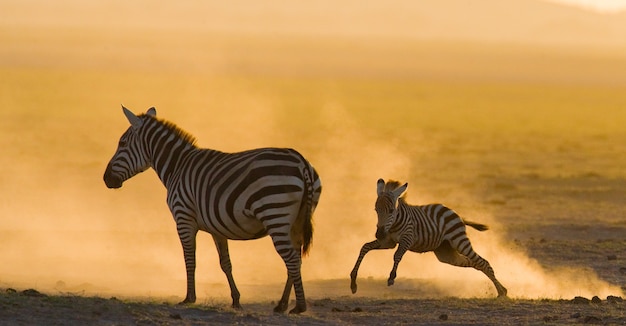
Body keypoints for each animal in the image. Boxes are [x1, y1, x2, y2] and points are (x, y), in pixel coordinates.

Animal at [103, 107, 322, 314]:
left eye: (122, 143)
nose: (106, 179)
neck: (177, 166)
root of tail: (301, 162)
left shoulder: (184, 219)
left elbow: (190, 259)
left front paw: (189, 298)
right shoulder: (218, 227)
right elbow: (225, 263)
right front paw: (236, 300)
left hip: (275, 213)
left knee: (291, 258)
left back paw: (299, 306)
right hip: (296, 221)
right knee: (296, 259)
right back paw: (282, 305)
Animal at [348, 178, 504, 298]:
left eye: (391, 210)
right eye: (376, 210)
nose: (379, 234)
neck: (394, 224)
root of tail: (457, 214)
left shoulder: (407, 239)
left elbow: (397, 255)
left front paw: (392, 277)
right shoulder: (388, 242)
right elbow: (365, 247)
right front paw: (353, 282)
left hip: (459, 241)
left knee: (483, 262)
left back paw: (502, 291)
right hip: (445, 253)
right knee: (474, 263)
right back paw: (501, 289)